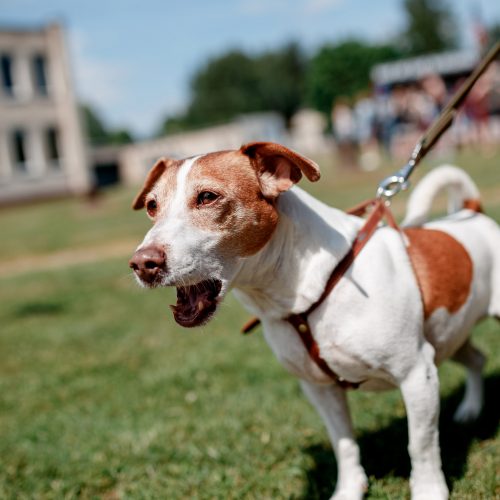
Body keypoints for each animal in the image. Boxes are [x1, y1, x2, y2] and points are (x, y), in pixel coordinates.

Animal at [130, 143, 500, 498]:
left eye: (207, 197)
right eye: (151, 205)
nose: (142, 263)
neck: (310, 287)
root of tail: (473, 211)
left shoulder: (416, 374)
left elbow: (420, 446)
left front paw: (428, 491)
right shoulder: (319, 388)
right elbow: (344, 445)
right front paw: (349, 490)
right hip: (449, 337)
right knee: (476, 358)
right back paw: (470, 410)